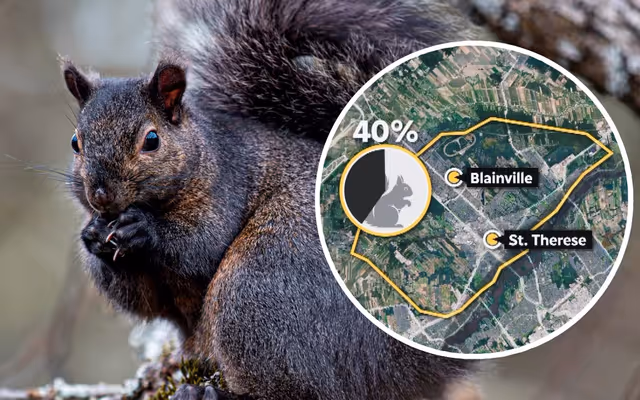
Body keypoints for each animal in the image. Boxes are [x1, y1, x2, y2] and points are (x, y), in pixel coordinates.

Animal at [61, 0, 484, 399]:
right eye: (76, 142)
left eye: (151, 140)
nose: (101, 196)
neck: (202, 153)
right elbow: (143, 300)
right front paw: (93, 236)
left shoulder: (229, 184)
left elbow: (201, 246)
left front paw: (144, 229)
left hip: (259, 290)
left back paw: (211, 392)